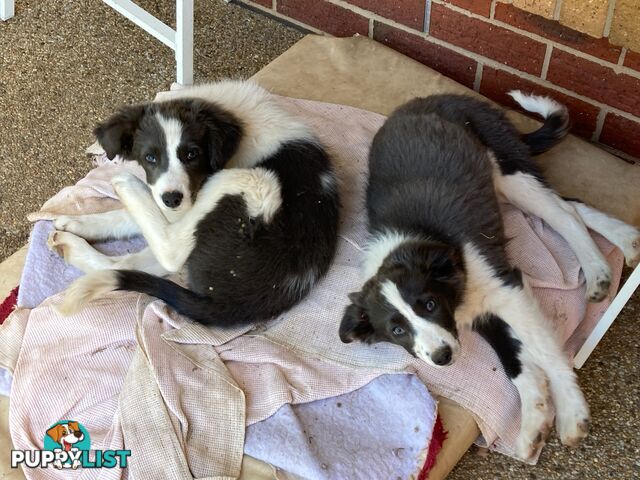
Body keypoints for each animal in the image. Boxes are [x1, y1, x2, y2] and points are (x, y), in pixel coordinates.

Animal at [49, 79, 340, 326]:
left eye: (192, 154)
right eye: (150, 157)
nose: (171, 198)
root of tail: (232, 304)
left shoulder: (192, 194)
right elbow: (130, 216)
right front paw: (78, 222)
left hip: (252, 183)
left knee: (170, 250)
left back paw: (126, 185)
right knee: (128, 262)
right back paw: (69, 244)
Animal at [338, 91, 636, 462]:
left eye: (430, 305)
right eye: (397, 330)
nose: (442, 357)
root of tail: (440, 97)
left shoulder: (508, 287)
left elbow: (548, 353)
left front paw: (571, 413)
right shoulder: (480, 309)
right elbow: (516, 360)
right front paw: (534, 420)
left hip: (508, 168)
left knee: (566, 212)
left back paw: (600, 265)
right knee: (573, 204)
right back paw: (622, 244)